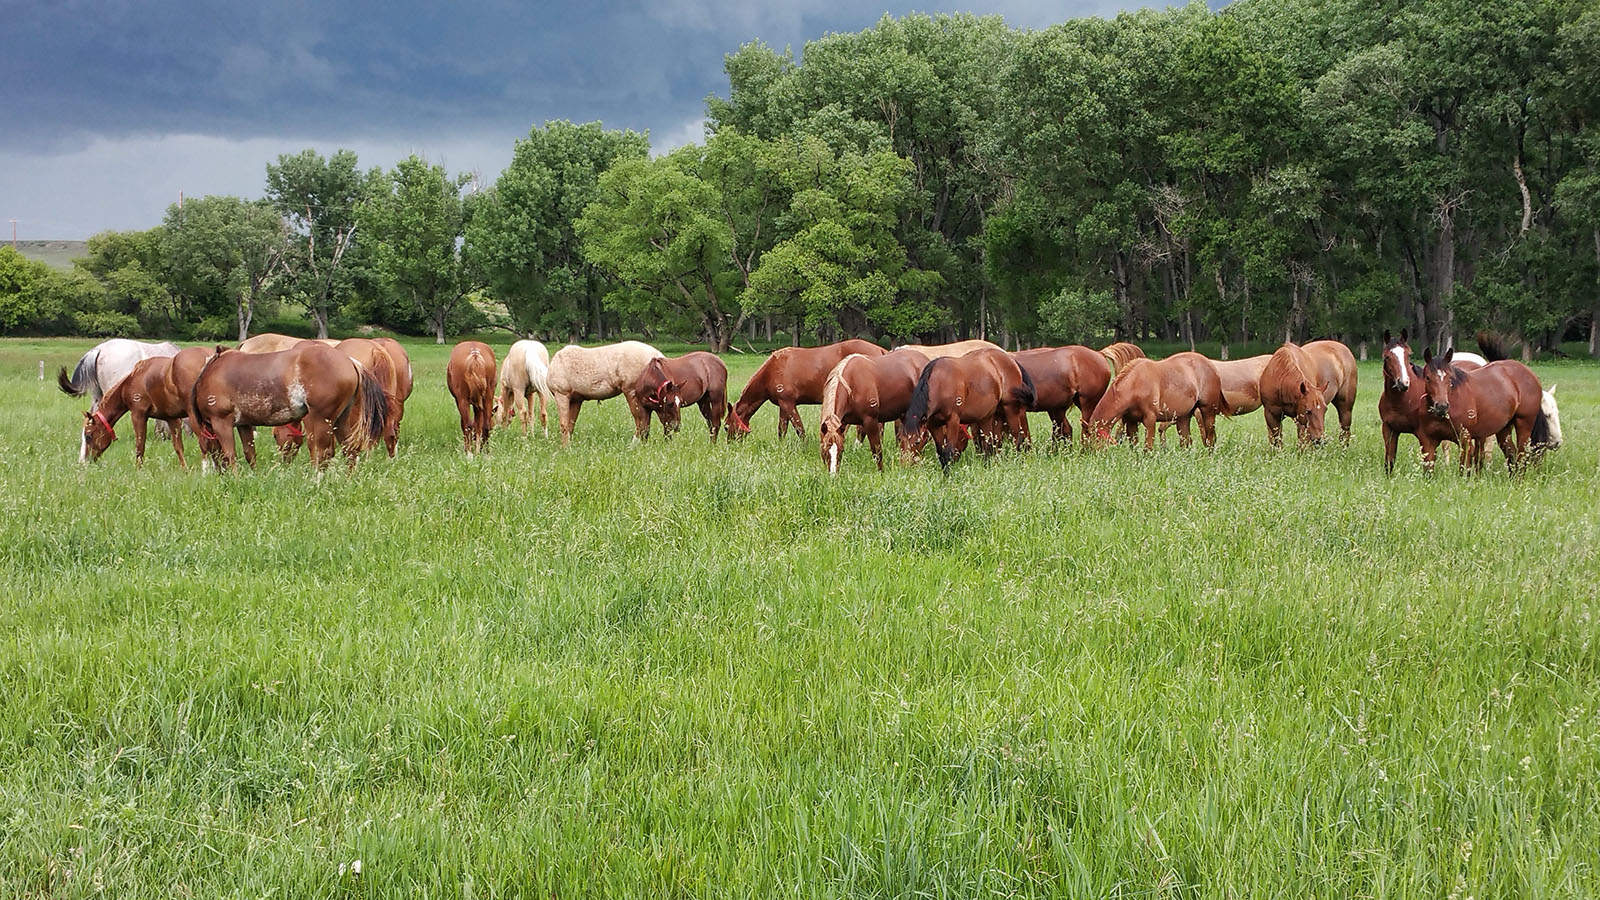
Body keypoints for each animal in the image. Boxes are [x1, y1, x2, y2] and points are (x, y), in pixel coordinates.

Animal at [186, 341, 384, 474]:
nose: (221, 474)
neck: (210, 374)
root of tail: (350, 362)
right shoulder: (244, 424)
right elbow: (250, 453)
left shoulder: (221, 422)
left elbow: (229, 454)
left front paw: (234, 478)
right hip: (340, 420)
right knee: (349, 450)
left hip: (323, 419)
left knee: (323, 453)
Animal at [729, 336, 889, 438]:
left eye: (726, 427)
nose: (730, 443)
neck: (772, 370)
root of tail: (880, 350)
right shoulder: (783, 405)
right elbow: (782, 430)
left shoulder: (788, 403)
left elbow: (800, 429)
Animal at [896, 344, 1030, 470]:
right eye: (901, 439)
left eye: (917, 441)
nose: (904, 465)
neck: (940, 383)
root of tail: (1011, 360)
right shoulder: (934, 425)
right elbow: (941, 453)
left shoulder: (953, 421)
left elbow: (948, 453)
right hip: (991, 416)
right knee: (991, 443)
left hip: (1010, 410)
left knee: (1017, 438)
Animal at [1088, 350, 1222, 448]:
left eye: (1093, 439)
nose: (1090, 455)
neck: (1135, 384)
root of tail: (1211, 365)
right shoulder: (1131, 421)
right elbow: (1134, 446)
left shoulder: (1150, 419)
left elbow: (1148, 448)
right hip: (1183, 417)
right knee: (1186, 442)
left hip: (1207, 412)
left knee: (1210, 438)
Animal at [1427, 344, 1548, 474]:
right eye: (1428, 378)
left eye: (1450, 378)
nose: (1441, 406)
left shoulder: (1466, 435)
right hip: (1504, 428)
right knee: (1512, 455)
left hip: (1524, 424)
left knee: (1521, 457)